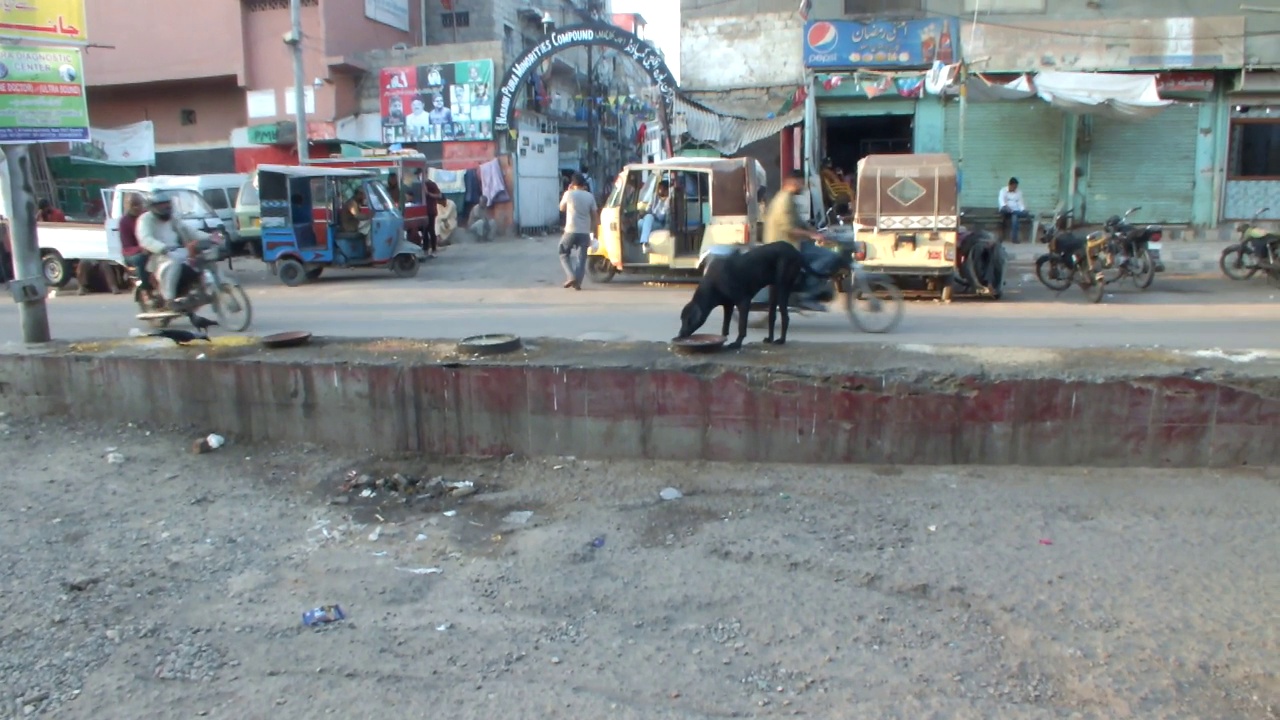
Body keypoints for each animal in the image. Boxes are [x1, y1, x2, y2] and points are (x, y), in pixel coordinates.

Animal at [675, 240, 803, 348]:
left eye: (688, 320)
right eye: (681, 319)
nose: (680, 334)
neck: (714, 285)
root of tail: (795, 251)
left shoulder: (743, 302)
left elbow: (742, 326)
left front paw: (737, 343)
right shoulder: (728, 305)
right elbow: (725, 326)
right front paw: (722, 340)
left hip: (783, 284)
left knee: (785, 316)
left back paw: (781, 340)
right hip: (774, 287)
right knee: (772, 315)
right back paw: (770, 339)